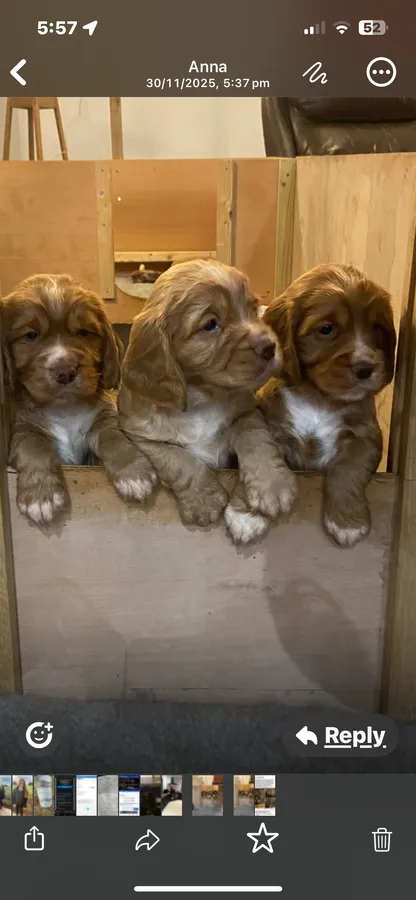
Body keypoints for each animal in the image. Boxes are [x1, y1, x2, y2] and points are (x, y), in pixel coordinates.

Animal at [1, 274, 157, 525]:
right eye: (30, 336)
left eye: (84, 332)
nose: (65, 371)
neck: (65, 410)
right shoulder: (22, 428)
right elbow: (33, 447)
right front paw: (41, 497)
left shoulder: (105, 418)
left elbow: (113, 436)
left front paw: (134, 474)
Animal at [118, 258, 297, 544]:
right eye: (211, 324)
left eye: (252, 308)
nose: (270, 347)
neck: (202, 397)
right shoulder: (140, 434)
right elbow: (177, 459)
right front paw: (205, 500)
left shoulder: (247, 412)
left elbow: (257, 439)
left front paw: (272, 486)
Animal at [258, 263, 396, 547]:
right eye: (326, 329)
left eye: (377, 327)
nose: (366, 367)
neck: (318, 398)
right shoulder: (273, 425)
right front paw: (247, 514)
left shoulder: (366, 436)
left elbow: (348, 469)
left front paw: (348, 524)